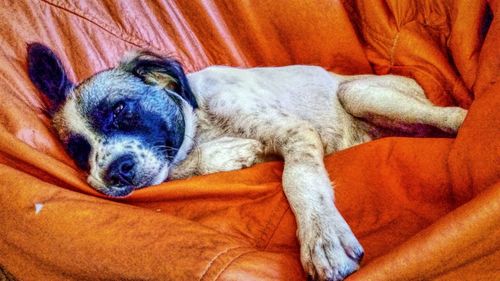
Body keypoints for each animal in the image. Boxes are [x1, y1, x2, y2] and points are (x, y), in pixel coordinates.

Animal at [26, 42, 464, 278]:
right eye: (79, 152)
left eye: (121, 110)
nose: (114, 172)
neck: (201, 121)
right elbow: (183, 166)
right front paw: (231, 155)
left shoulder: (296, 132)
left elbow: (299, 180)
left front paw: (321, 236)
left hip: (358, 92)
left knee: (449, 115)